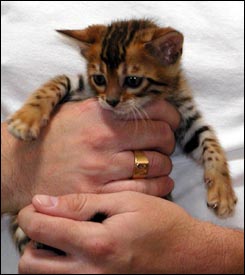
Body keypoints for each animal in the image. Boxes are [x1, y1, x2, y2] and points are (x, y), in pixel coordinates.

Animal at [6, 19, 237, 254]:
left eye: (133, 80)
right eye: (99, 79)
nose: (111, 101)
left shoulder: (186, 118)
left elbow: (210, 144)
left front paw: (223, 192)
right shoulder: (83, 86)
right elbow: (59, 81)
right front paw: (26, 119)